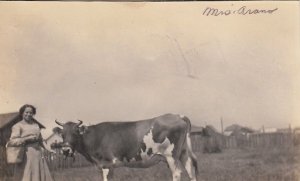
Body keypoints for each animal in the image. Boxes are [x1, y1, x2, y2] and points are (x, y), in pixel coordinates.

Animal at [55, 114, 200, 180]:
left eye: (75, 133)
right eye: (62, 134)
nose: (66, 150)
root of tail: (178, 115)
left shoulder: (105, 164)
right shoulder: (110, 166)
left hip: (171, 155)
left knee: (177, 173)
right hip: (183, 152)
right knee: (191, 171)